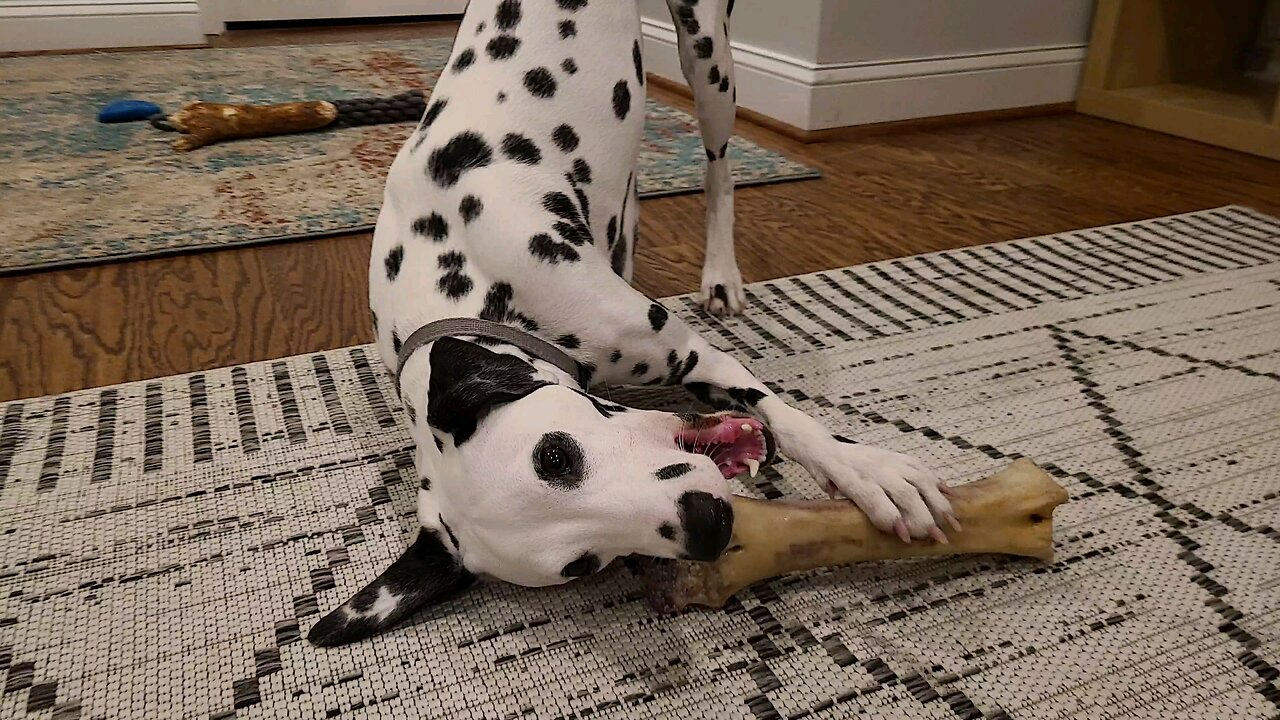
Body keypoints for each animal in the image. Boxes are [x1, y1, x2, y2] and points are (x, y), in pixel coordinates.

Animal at [304, 0, 957, 645]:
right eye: (582, 563)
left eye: (555, 456)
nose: (709, 523)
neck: (458, 278)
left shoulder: (693, 352)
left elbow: (793, 421)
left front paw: (869, 473)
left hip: (709, 58)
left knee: (719, 167)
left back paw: (722, 274)